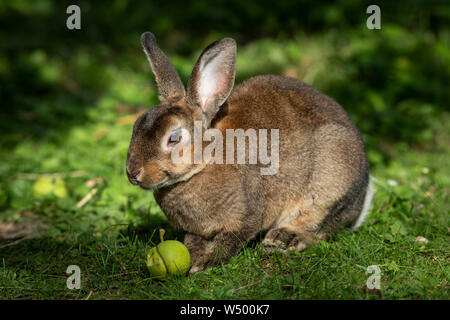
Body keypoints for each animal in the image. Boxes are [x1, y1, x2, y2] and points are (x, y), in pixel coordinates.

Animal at [125, 31, 372, 272]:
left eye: (174, 138)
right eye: (136, 125)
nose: (133, 172)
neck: (204, 162)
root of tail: (361, 200)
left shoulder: (248, 215)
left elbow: (231, 238)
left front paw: (207, 263)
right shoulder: (195, 230)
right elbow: (193, 241)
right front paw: (194, 258)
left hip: (331, 180)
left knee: (319, 227)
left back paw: (283, 239)